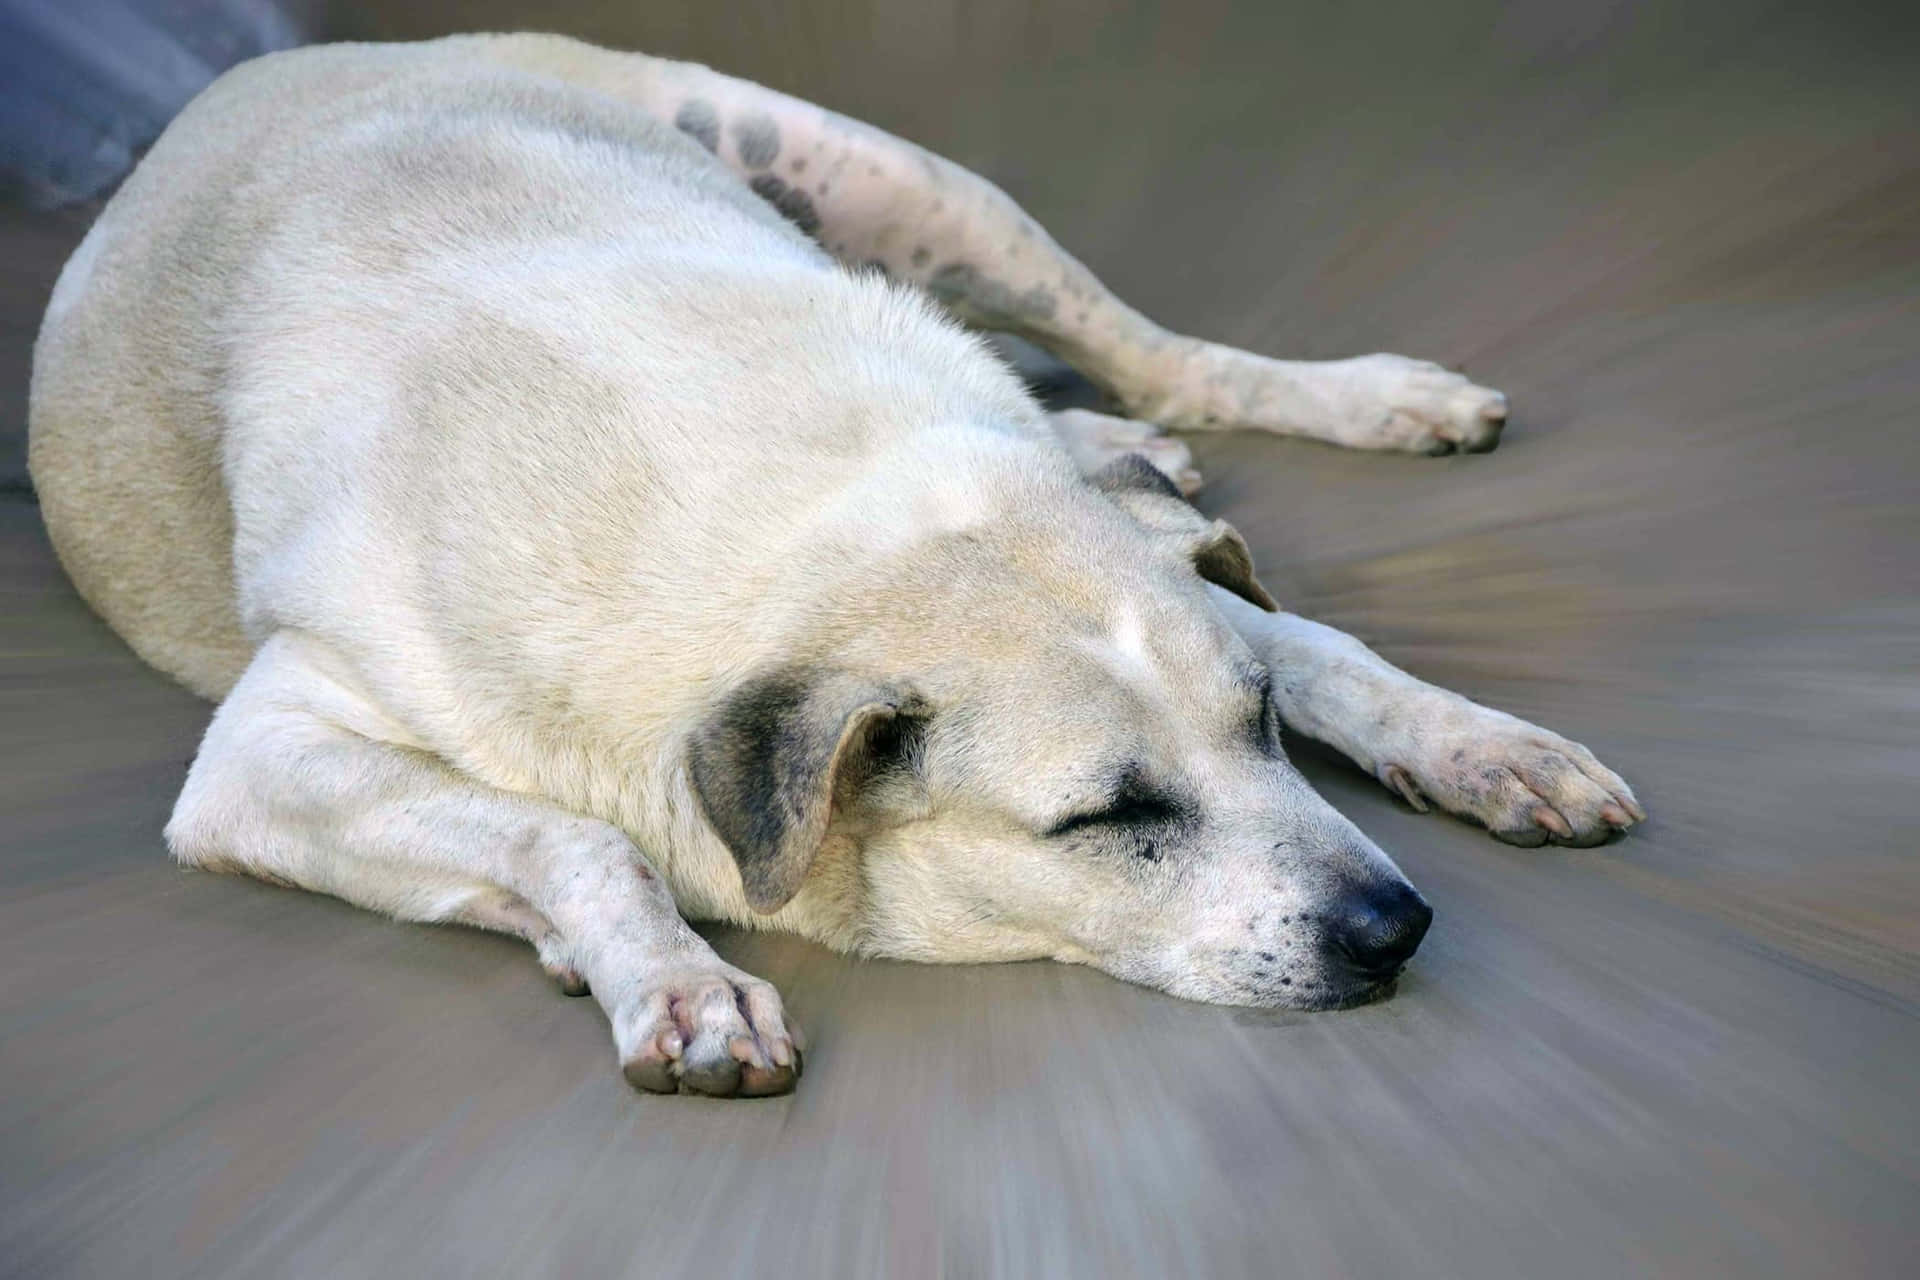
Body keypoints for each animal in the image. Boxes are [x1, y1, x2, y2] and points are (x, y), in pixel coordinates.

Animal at [30, 32, 1643, 1105]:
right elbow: (573, 835)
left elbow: (1320, 645)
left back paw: (1357, 398)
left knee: (1158, 355)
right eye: (1109, 818)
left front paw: (1484, 745)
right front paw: (673, 976)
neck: (827, 525)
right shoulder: (261, 756)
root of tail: (292, 60)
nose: (1399, 923)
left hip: (905, 183)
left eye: (1252, 727)